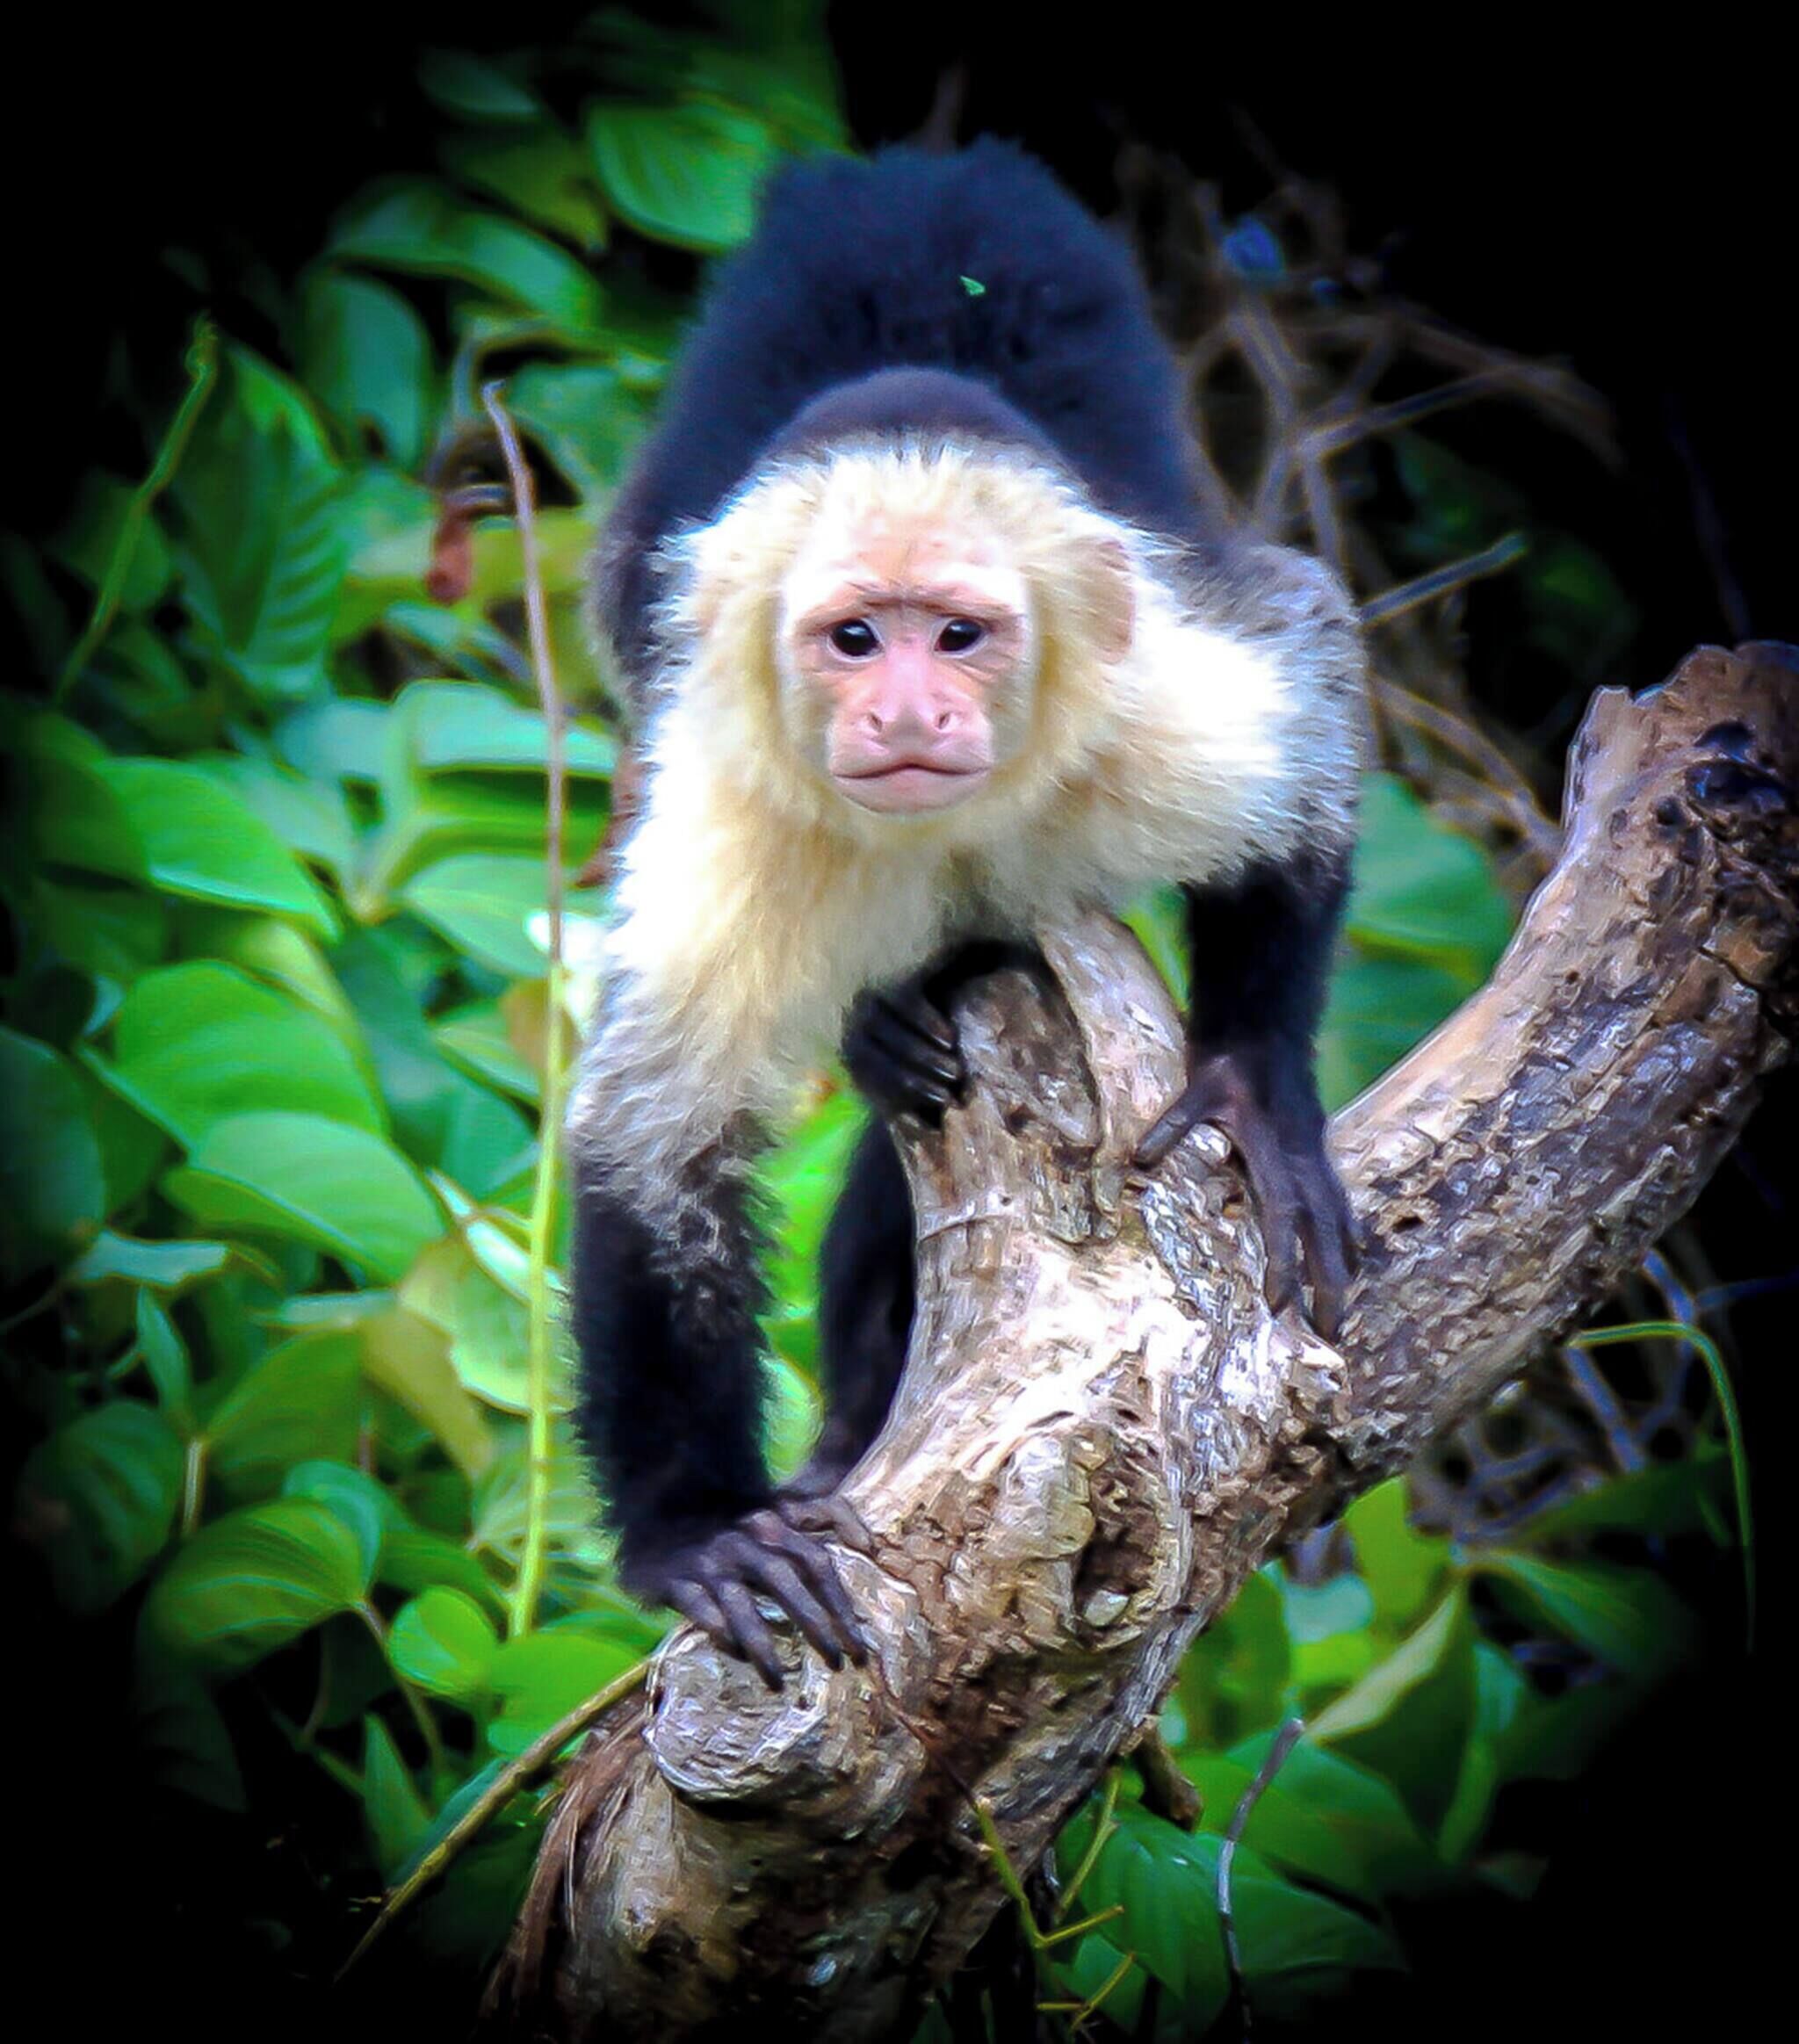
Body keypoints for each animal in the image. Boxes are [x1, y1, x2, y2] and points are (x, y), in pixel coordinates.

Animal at [568, 142, 1365, 1687]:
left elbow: (1305, 663)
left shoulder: (1154, 697)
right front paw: (699, 1526)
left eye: (958, 634)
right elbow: (653, 1132)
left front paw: (1251, 1075)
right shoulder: (728, 798)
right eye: (853, 638)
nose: (907, 713)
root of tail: (913, 176)